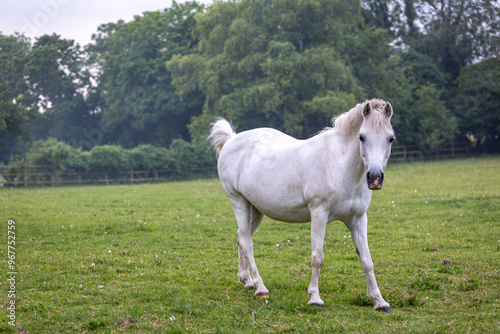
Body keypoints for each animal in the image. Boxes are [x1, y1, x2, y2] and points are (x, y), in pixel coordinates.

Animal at [209, 99, 396, 314]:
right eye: (362, 137)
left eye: (390, 138)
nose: (375, 178)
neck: (338, 164)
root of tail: (231, 139)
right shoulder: (319, 215)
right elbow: (317, 257)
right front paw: (315, 298)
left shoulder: (357, 219)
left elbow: (367, 260)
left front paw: (380, 301)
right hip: (238, 202)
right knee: (247, 243)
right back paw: (261, 287)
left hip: (254, 209)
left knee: (241, 236)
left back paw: (248, 281)